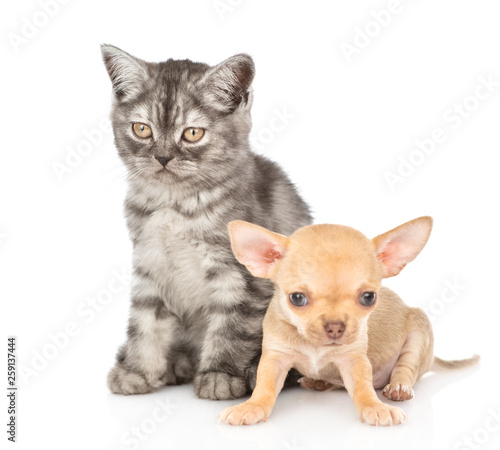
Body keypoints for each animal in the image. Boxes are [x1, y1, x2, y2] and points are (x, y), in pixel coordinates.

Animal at [101, 44, 310, 400]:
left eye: (192, 133)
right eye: (142, 129)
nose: (162, 157)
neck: (175, 205)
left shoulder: (240, 276)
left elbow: (232, 326)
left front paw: (220, 375)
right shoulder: (149, 266)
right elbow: (144, 322)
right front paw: (137, 371)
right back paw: (178, 363)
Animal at [218, 217, 476, 426]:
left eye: (368, 297)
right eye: (297, 298)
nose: (335, 327)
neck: (316, 346)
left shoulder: (354, 360)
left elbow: (363, 388)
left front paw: (374, 407)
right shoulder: (275, 358)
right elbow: (265, 387)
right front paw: (251, 407)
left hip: (419, 332)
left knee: (406, 368)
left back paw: (398, 388)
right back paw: (320, 383)